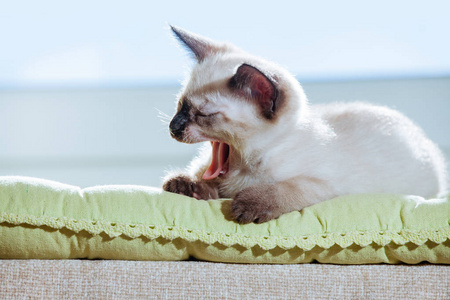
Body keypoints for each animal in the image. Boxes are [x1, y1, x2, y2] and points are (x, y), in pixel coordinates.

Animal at [163, 25, 448, 223]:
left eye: (203, 114)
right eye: (180, 106)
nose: (173, 127)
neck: (241, 163)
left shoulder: (324, 186)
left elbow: (286, 189)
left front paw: (247, 206)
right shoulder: (212, 174)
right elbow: (202, 177)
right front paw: (183, 185)